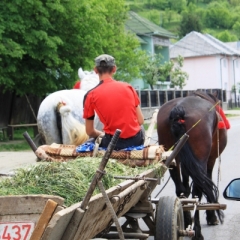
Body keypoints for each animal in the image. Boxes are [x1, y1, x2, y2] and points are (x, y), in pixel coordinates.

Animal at [157, 91, 228, 239]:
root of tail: (178, 110)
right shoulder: (210, 159)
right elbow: (207, 185)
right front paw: (212, 217)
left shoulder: (186, 162)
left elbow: (185, 188)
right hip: (200, 160)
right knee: (197, 191)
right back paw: (197, 233)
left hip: (172, 158)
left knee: (181, 191)